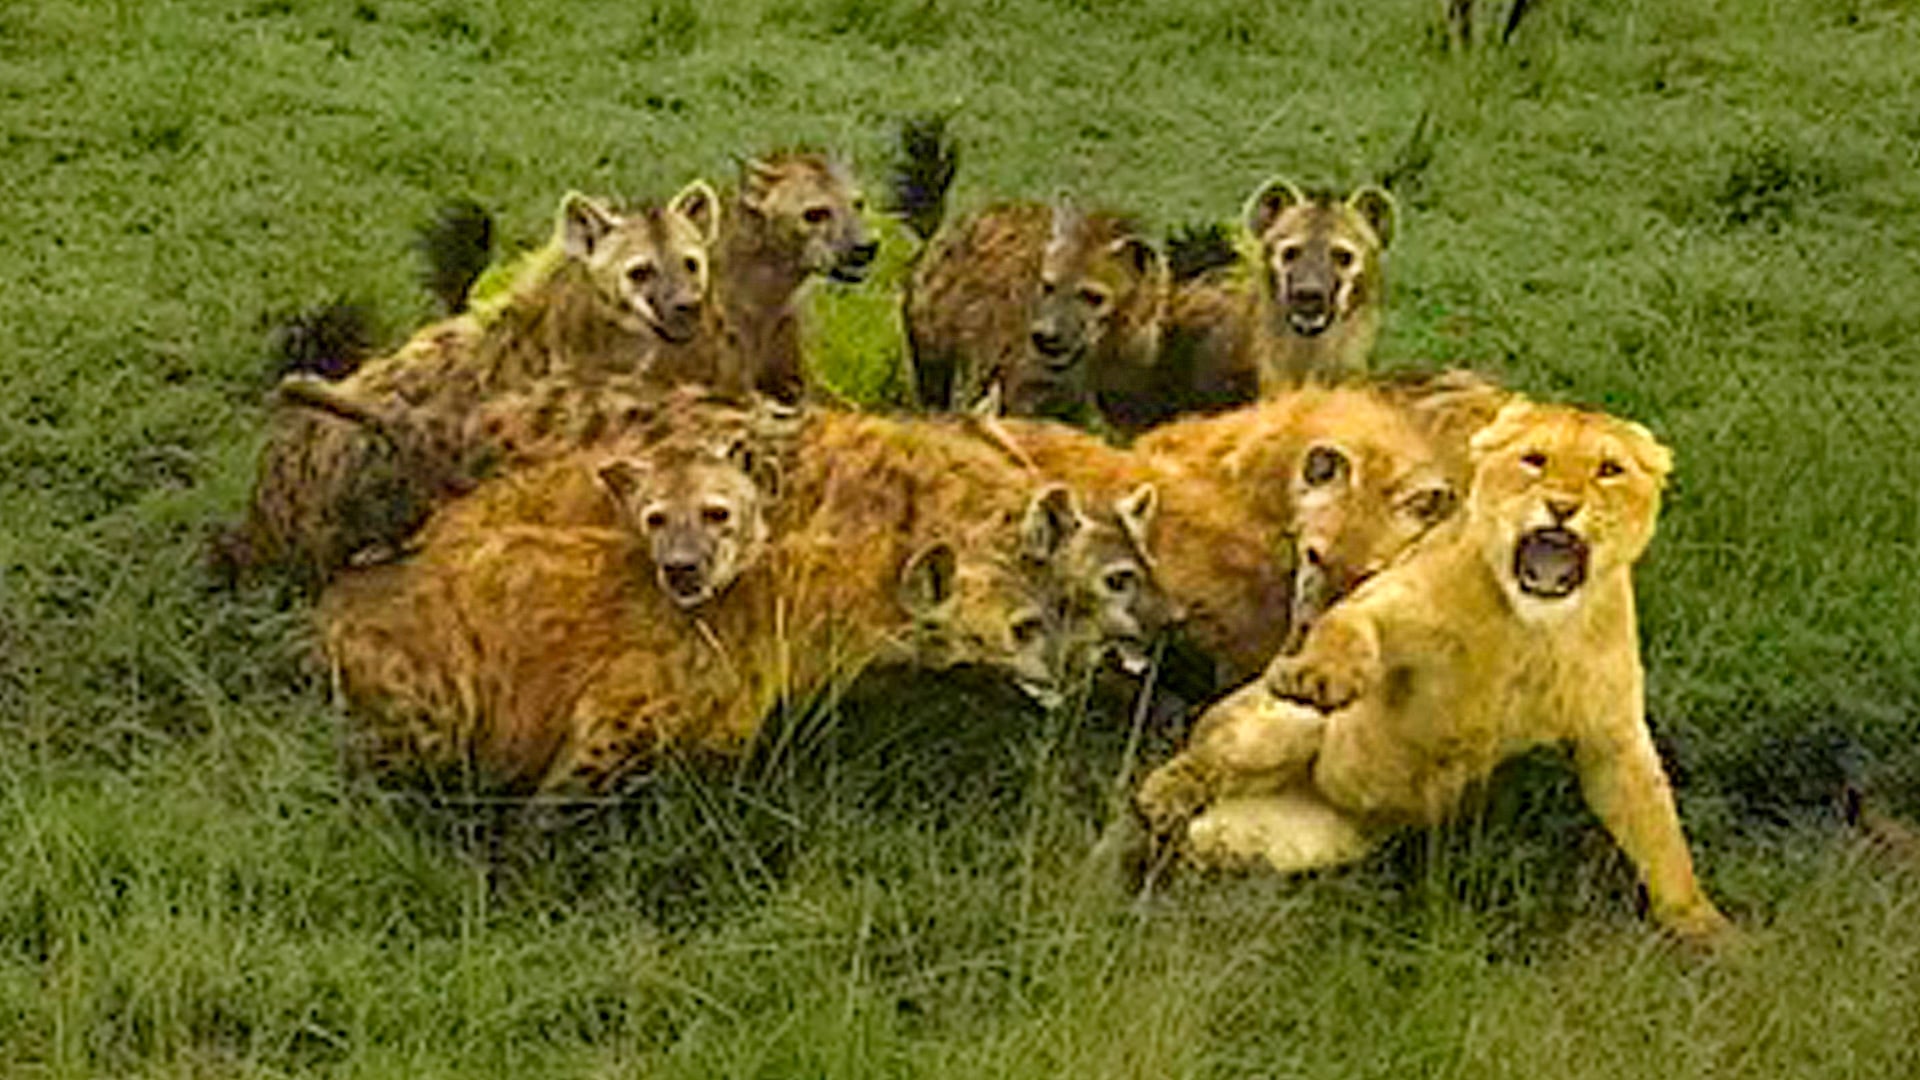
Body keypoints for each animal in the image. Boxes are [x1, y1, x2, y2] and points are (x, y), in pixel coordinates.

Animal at [1134, 400, 1731, 943]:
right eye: (1534, 460)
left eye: (1609, 469)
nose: (1562, 506)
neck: (1532, 629)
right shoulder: (1393, 601)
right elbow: (1350, 623)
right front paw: (1320, 674)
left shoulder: (1613, 736)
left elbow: (1658, 830)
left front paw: (1708, 931)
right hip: (1276, 723)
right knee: (1196, 762)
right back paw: (1162, 801)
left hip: (1289, 839)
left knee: (1208, 840)